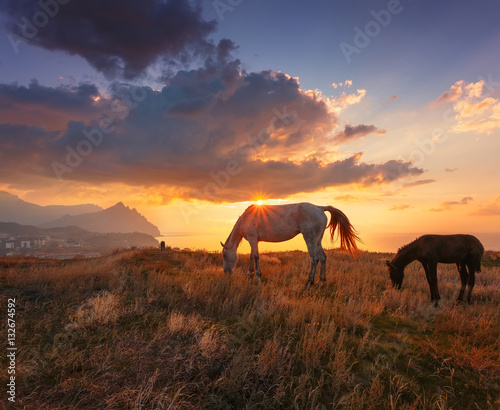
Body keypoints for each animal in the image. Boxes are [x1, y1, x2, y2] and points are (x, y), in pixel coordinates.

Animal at [220, 203, 360, 288]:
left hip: (310, 239)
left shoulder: (252, 239)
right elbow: (251, 256)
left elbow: (256, 256)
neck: (246, 218)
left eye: (224, 255)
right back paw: (320, 281)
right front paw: (250, 274)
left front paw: (257, 277)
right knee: (323, 258)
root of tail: (319, 208)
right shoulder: (254, 241)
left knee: (314, 259)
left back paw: (308, 284)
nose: (226, 273)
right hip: (317, 241)